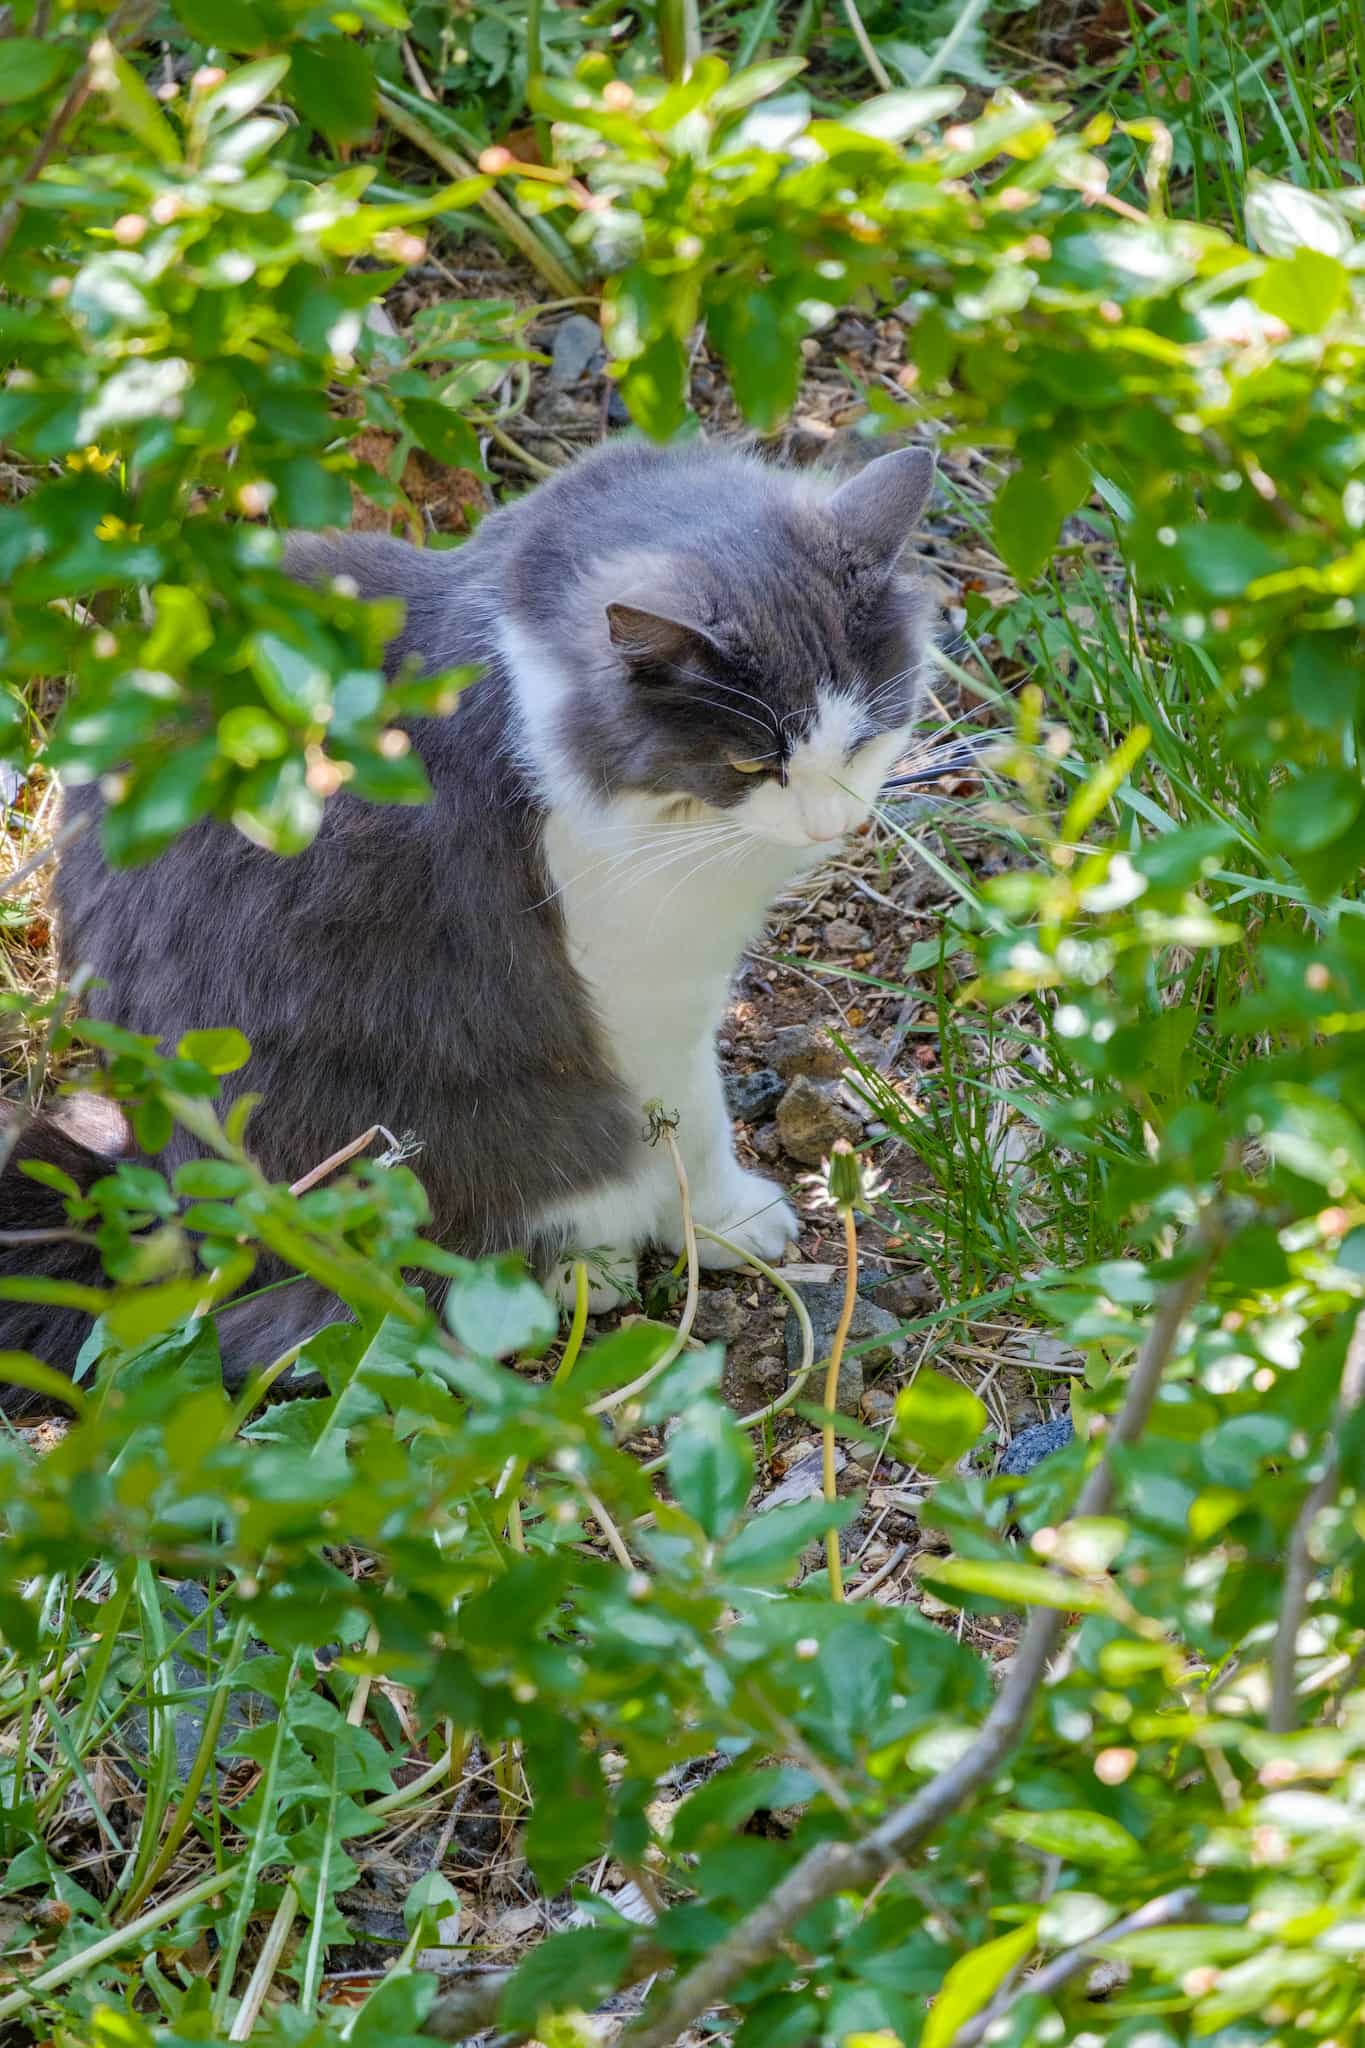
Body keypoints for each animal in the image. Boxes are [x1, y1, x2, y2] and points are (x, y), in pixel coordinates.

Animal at [0, 432, 933, 1392]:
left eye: (862, 740)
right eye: (751, 764)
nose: (833, 825)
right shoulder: (646, 988)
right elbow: (693, 1121)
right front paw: (730, 1219)